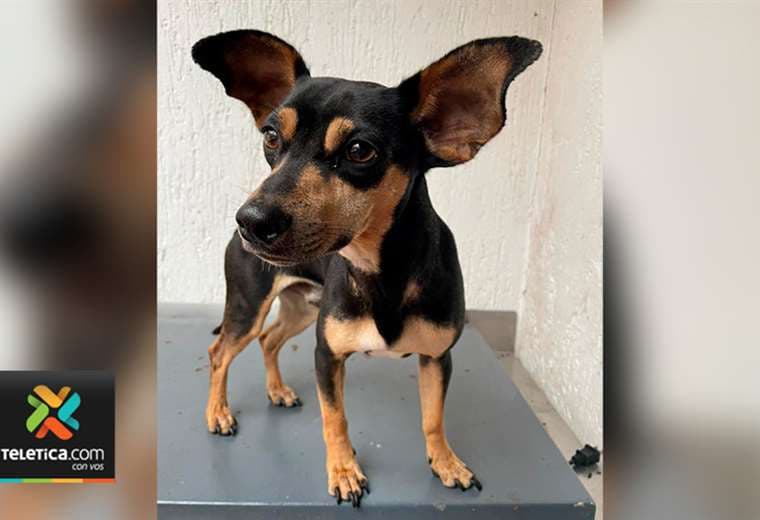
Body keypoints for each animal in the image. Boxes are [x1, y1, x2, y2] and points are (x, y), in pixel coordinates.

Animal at [192, 29, 541, 507]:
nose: (251, 221)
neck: (381, 273)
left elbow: (433, 418)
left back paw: (277, 391)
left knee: (269, 339)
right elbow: (334, 419)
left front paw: (445, 463)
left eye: (360, 150)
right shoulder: (327, 355)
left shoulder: (438, 358)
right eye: (271, 138)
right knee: (220, 351)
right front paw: (344, 472)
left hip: (302, 309)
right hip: (250, 305)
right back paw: (218, 413)